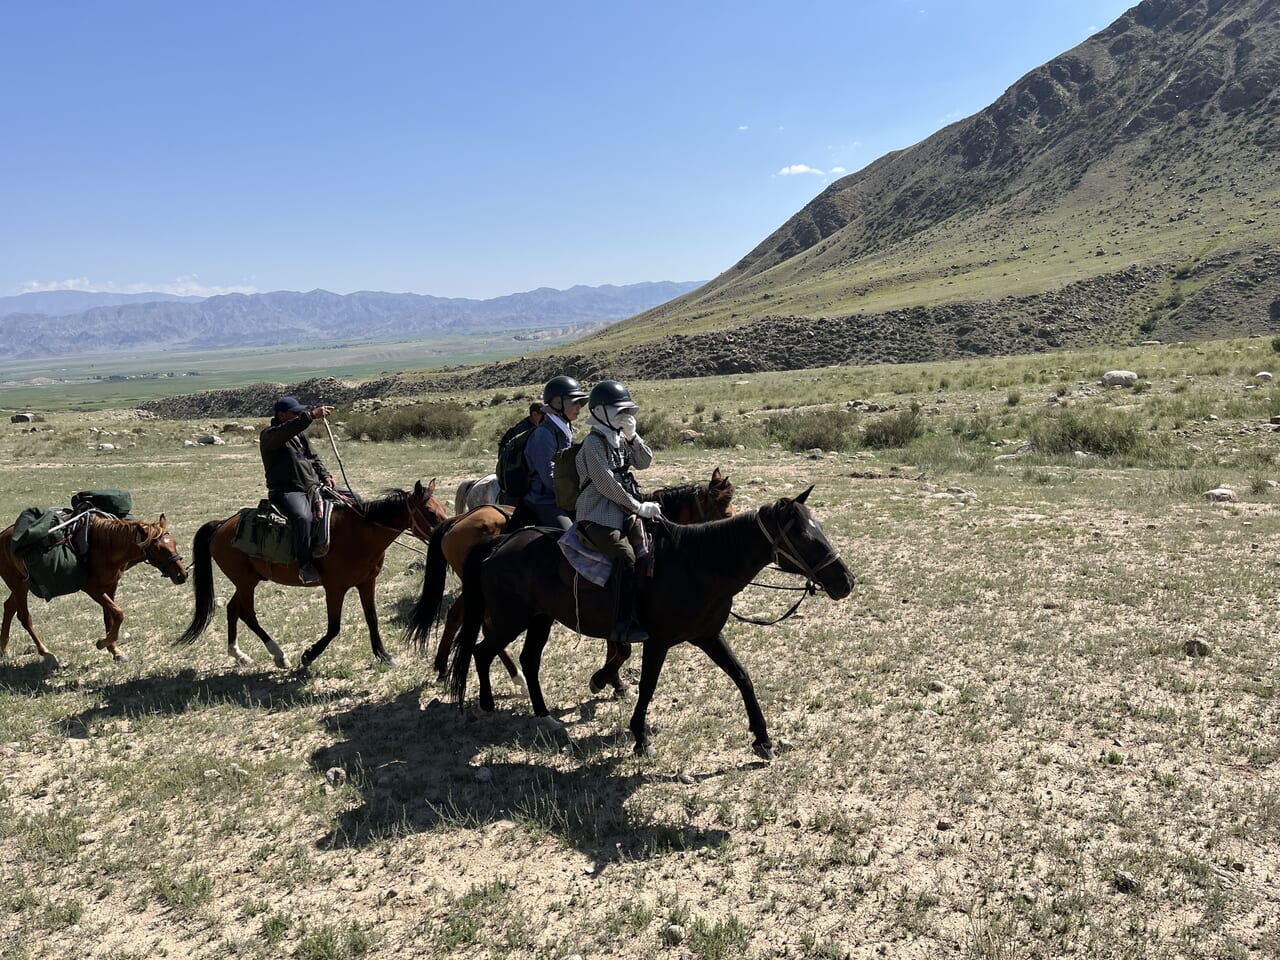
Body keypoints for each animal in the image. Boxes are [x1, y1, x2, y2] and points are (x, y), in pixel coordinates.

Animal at [0, 519, 188, 670]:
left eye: (174, 543)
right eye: (158, 549)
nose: (182, 575)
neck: (105, 547)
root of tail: (3, 535)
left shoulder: (111, 586)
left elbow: (110, 618)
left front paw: (115, 651)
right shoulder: (92, 589)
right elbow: (119, 613)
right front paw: (102, 643)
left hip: (22, 585)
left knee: (9, 607)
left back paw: (4, 649)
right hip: (18, 585)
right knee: (25, 618)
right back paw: (45, 652)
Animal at [179, 481, 450, 670]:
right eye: (430, 512)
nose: (447, 531)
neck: (359, 535)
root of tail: (221, 524)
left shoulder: (366, 582)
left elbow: (372, 619)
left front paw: (384, 656)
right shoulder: (335, 588)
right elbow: (334, 627)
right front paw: (308, 655)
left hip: (250, 580)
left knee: (233, 609)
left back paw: (239, 655)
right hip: (245, 582)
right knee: (248, 614)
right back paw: (279, 655)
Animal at [404, 471, 737, 686]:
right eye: (724, 512)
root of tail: (455, 522)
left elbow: (617, 644)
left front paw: (613, 680)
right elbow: (619, 645)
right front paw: (609, 680)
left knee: (460, 616)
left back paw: (444, 667)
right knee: (472, 620)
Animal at [430, 491, 849, 762]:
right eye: (803, 535)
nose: (846, 580)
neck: (696, 564)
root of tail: (498, 543)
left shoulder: (708, 636)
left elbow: (742, 676)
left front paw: (762, 739)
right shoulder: (658, 641)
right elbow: (647, 684)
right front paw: (639, 737)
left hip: (539, 618)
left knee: (528, 660)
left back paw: (544, 716)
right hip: (511, 618)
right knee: (481, 651)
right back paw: (486, 706)